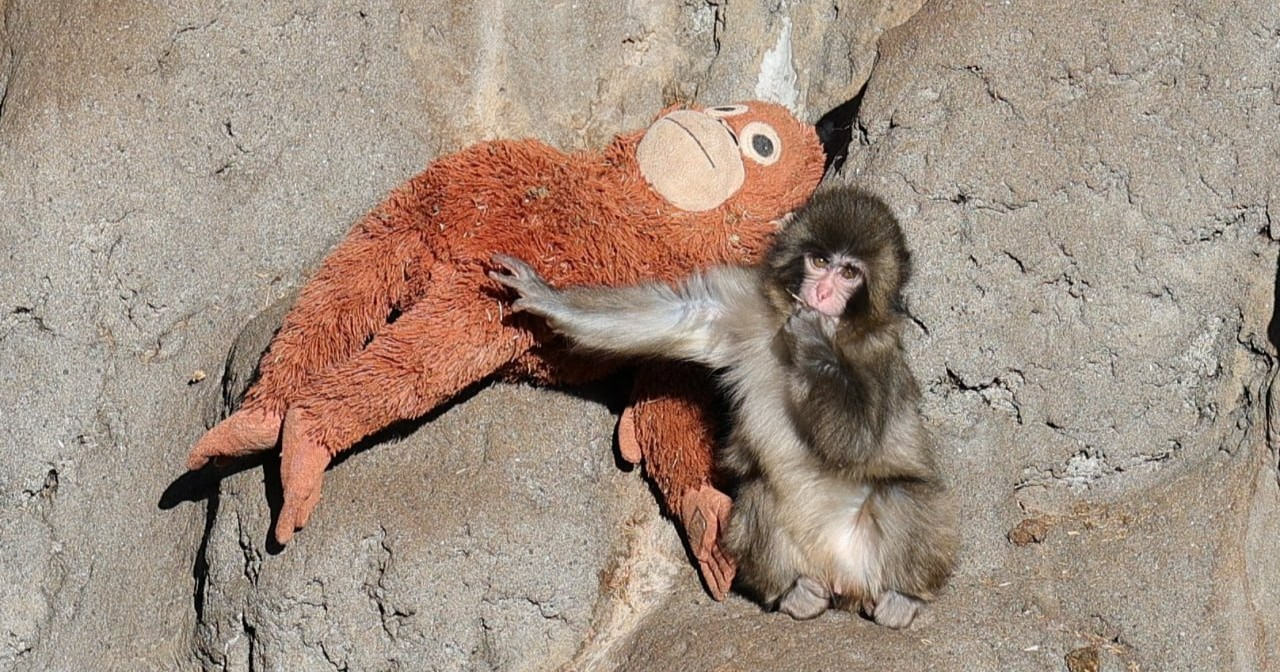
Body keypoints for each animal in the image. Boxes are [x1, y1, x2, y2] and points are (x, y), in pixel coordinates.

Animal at [488, 186, 957, 627]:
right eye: (820, 260)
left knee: (900, 491)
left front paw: (814, 338)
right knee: (758, 491)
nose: (823, 292)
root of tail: (842, 581)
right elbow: (683, 316)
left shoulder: (880, 354)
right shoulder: (744, 304)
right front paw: (544, 295)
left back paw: (903, 598)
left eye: (849, 273)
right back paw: (795, 594)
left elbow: (858, 443)